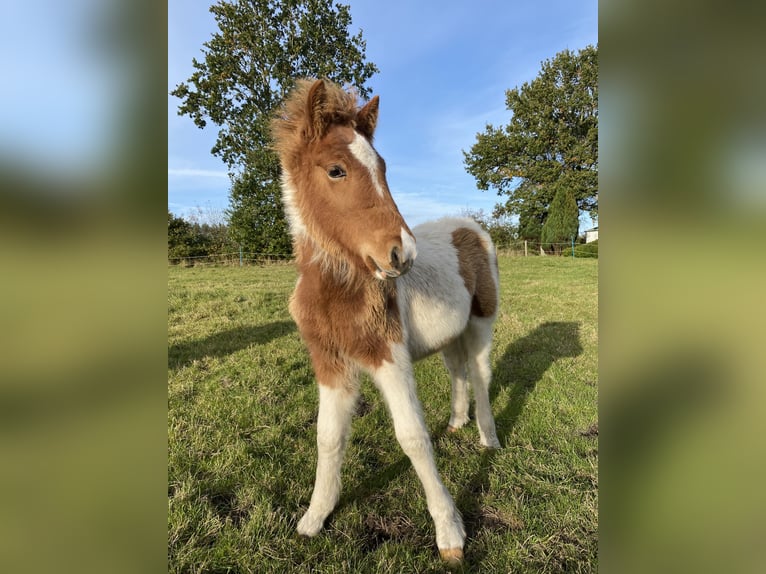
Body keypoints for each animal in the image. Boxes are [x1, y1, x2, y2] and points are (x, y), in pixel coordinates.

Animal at [272, 77, 504, 568]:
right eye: (336, 170)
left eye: (382, 167)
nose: (402, 254)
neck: (342, 290)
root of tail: (470, 225)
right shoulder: (330, 363)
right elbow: (328, 437)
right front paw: (314, 517)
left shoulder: (389, 356)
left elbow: (413, 437)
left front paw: (450, 533)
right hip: (449, 333)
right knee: (456, 370)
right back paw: (456, 422)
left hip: (481, 322)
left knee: (480, 374)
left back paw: (487, 438)